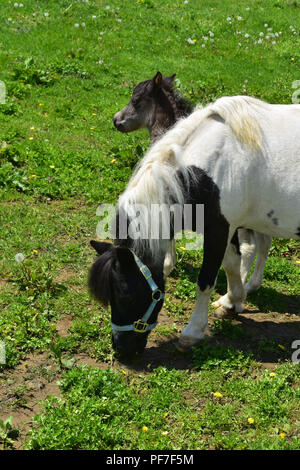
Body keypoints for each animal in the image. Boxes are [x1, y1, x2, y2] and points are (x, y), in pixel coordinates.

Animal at [90, 97, 300, 358]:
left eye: (125, 296)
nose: (121, 349)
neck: (215, 166)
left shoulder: (219, 231)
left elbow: (206, 280)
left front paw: (192, 333)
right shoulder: (227, 227)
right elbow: (232, 263)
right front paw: (231, 301)